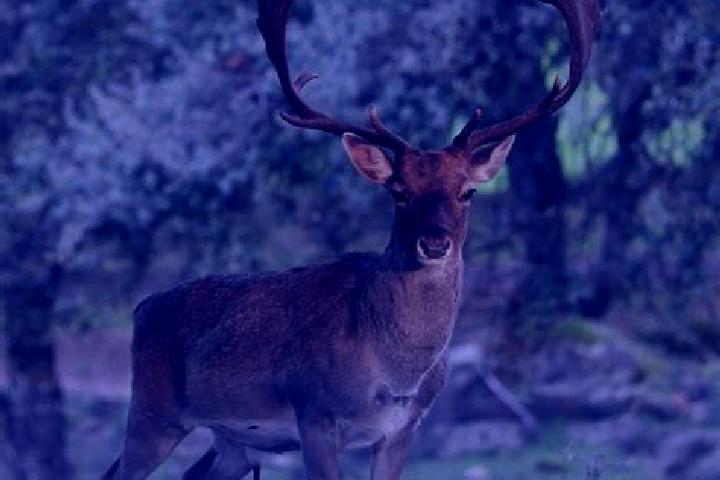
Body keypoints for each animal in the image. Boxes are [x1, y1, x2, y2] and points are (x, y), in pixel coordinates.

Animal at [102, 1, 600, 479]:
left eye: (468, 191)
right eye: (399, 191)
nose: (434, 243)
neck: (393, 376)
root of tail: (141, 307)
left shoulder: (403, 429)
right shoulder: (314, 416)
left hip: (235, 441)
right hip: (153, 412)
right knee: (119, 470)